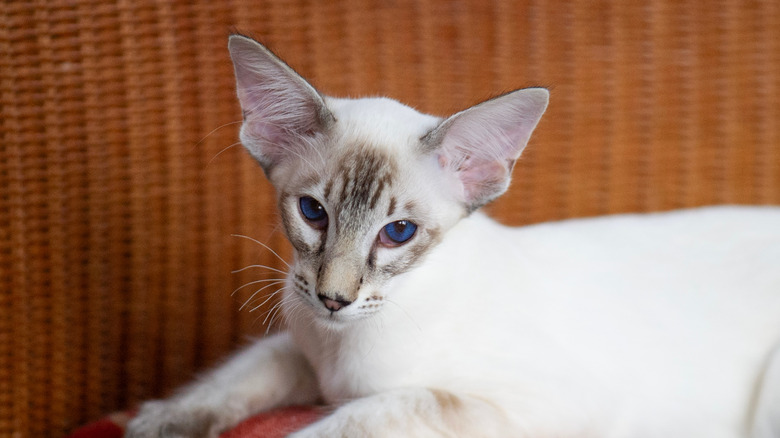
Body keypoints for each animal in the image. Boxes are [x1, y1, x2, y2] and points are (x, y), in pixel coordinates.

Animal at [125, 34, 776, 438]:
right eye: (313, 212)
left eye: (398, 232)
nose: (334, 299)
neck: (343, 352)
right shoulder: (298, 348)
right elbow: (237, 376)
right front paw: (160, 420)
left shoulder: (534, 405)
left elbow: (368, 413)